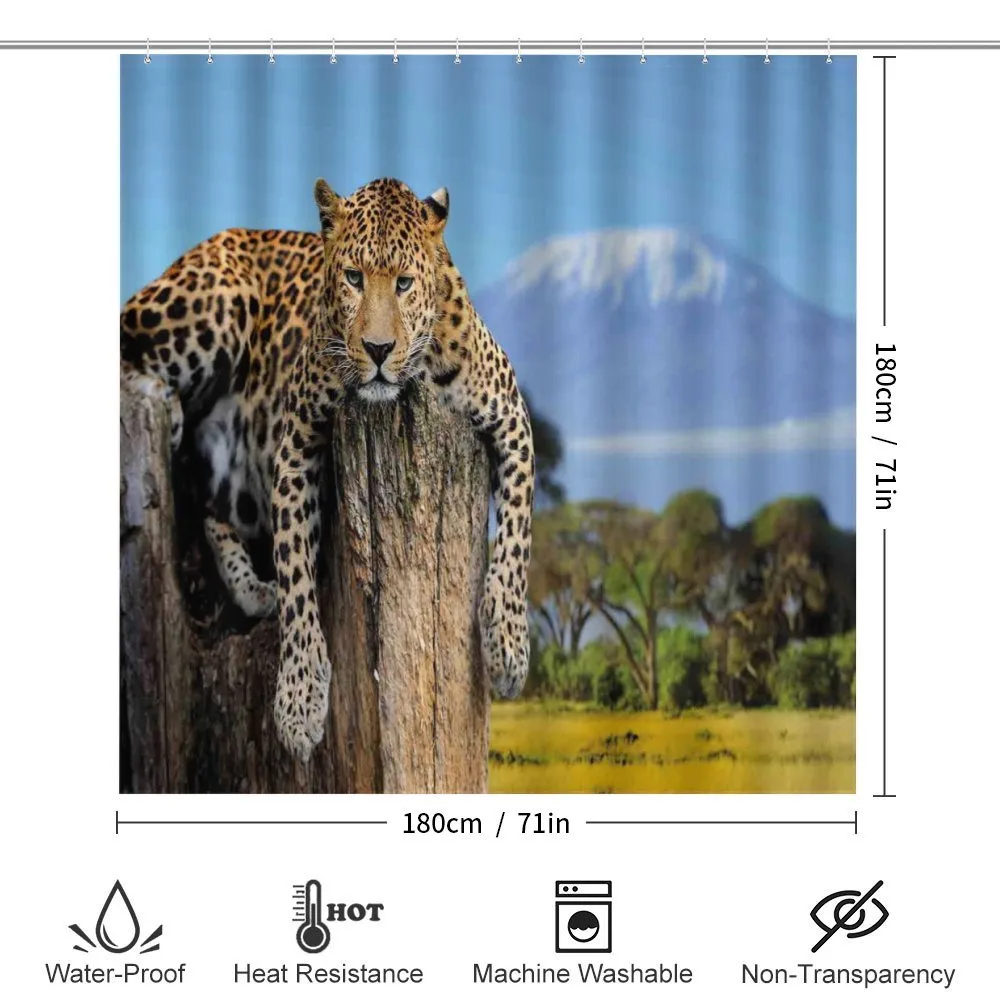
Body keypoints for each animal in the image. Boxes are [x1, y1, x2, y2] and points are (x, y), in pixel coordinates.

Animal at [120, 177, 535, 762]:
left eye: (404, 283)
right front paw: (298, 703)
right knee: (126, 344)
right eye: (353, 278)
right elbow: (296, 570)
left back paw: (252, 589)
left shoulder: (512, 418)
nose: (378, 349)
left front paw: (508, 644)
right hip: (213, 304)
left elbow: (517, 535)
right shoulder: (294, 445)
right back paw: (160, 400)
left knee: (208, 508)